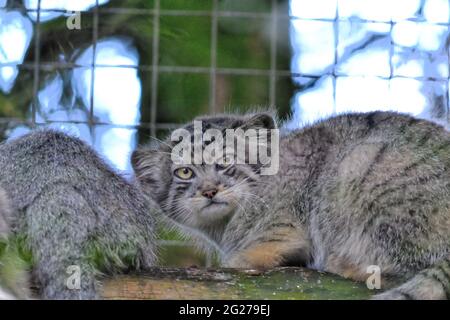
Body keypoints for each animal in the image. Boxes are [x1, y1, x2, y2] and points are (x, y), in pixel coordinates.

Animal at [132, 111, 450, 298]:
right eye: (184, 172)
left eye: (225, 161)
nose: (209, 190)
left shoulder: (282, 228)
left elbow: (249, 257)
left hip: (359, 164)